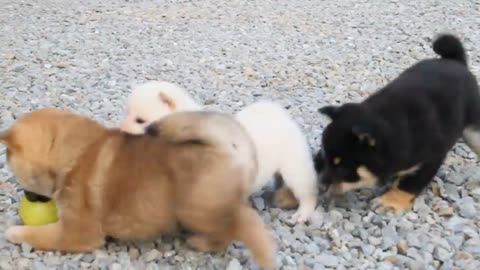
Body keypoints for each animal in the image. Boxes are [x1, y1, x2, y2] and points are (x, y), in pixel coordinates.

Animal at [0, 108, 276, 268]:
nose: (26, 196)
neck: (73, 153)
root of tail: (229, 146)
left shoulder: (77, 233)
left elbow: (42, 235)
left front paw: (15, 232)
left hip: (197, 209)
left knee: (240, 224)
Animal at [119, 80, 318, 224]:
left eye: (140, 120)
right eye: (126, 113)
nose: (120, 129)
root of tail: (280, 114)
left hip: (294, 165)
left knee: (307, 191)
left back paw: (303, 213)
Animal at [316, 33, 480, 214]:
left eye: (343, 168)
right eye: (324, 156)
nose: (320, 187)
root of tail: (455, 61)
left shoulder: (431, 158)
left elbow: (408, 184)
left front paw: (390, 201)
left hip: (473, 131)